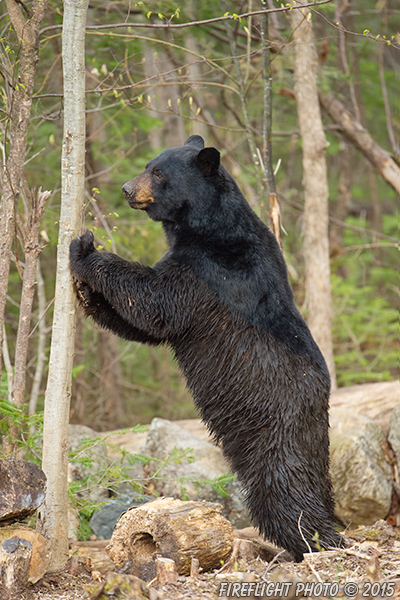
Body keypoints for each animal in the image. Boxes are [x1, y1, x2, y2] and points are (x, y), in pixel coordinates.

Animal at [69, 134, 344, 560]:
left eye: (158, 172)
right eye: (148, 165)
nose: (128, 189)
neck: (204, 225)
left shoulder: (211, 269)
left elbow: (154, 302)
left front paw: (86, 251)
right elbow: (146, 326)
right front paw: (86, 294)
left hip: (275, 429)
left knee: (285, 488)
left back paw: (318, 541)